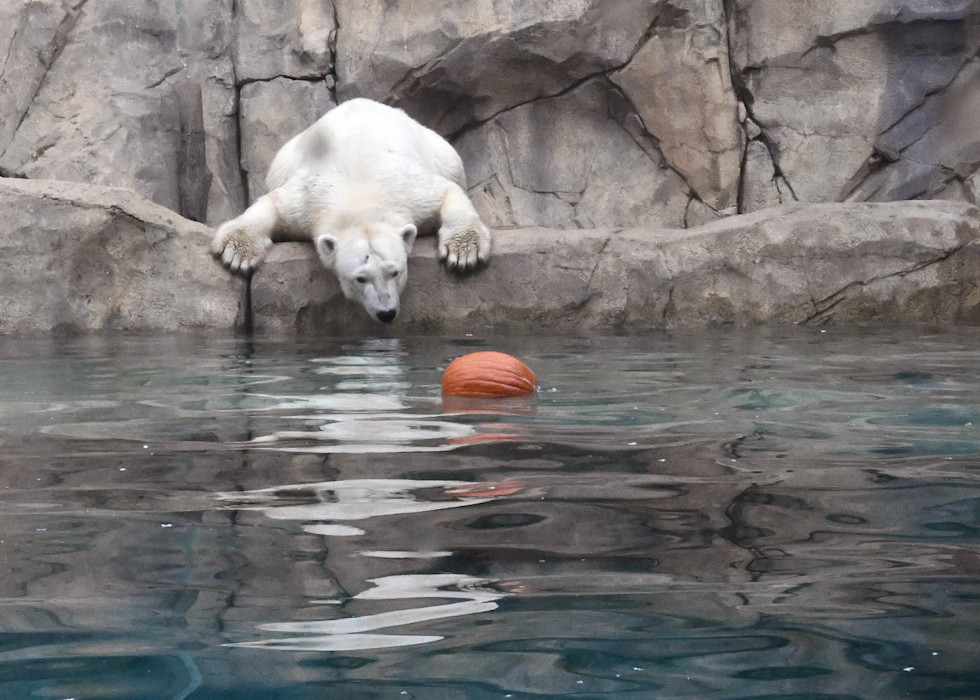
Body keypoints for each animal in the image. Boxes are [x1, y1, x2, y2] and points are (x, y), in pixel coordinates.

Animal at [211, 98, 492, 323]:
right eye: (360, 278)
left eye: (395, 272)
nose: (386, 313)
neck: (360, 196)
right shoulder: (309, 195)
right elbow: (273, 204)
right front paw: (236, 253)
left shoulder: (409, 189)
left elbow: (447, 192)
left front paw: (463, 253)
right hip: (282, 161)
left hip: (440, 150)